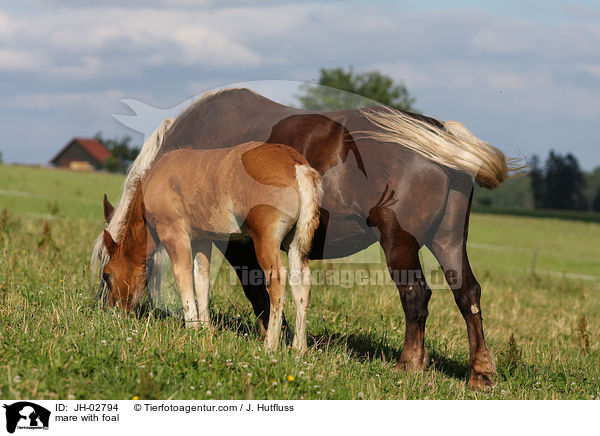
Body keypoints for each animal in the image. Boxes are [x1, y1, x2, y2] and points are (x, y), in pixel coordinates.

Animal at [102, 141, 324, 352]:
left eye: (107, 275)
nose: (112, 311)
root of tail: (297, 166)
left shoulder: (173, 233)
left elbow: (183, 276)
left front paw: (192, 327)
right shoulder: (202, 240)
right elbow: (202, 279)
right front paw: (205, 328)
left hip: (266, 240)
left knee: (277, 281)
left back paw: (270, 345)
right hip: (295, 245)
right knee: (301, 284)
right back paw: (299, 348)